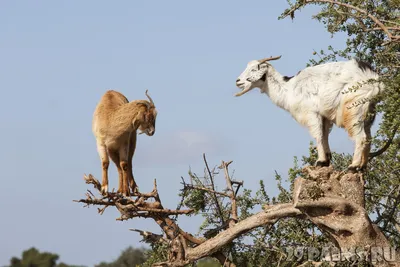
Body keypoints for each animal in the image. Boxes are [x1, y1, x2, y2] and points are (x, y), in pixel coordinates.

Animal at [236, 56, 382, 174]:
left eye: (254, 69)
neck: (288, 89)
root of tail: (374, 80)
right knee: (368, 137)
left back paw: (353, 166)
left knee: (361, 137)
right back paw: (362, 167)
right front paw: (326, 160)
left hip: (353, 109)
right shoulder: (324, 116)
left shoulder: (311, 113)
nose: (238, 81)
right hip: (368, 112)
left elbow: (318, 135)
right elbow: (324, 135)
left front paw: (320, 161)